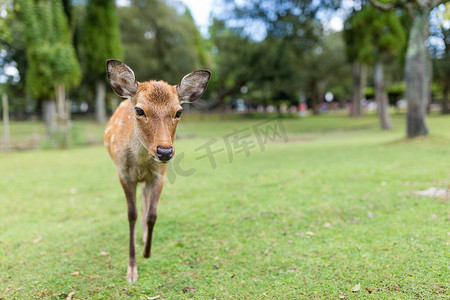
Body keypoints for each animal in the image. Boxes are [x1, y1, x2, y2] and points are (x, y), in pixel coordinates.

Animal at [104, 59, 212, 282]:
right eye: (139, 110)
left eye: (179, 111)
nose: (164, 151)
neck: (140, 163)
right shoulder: (123, 174)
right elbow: (131, 214)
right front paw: (131, 270)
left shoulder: (159, 175)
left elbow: (152, 214)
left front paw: (147, 252)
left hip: (147, 180)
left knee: (146, 201)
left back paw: (144, 236)